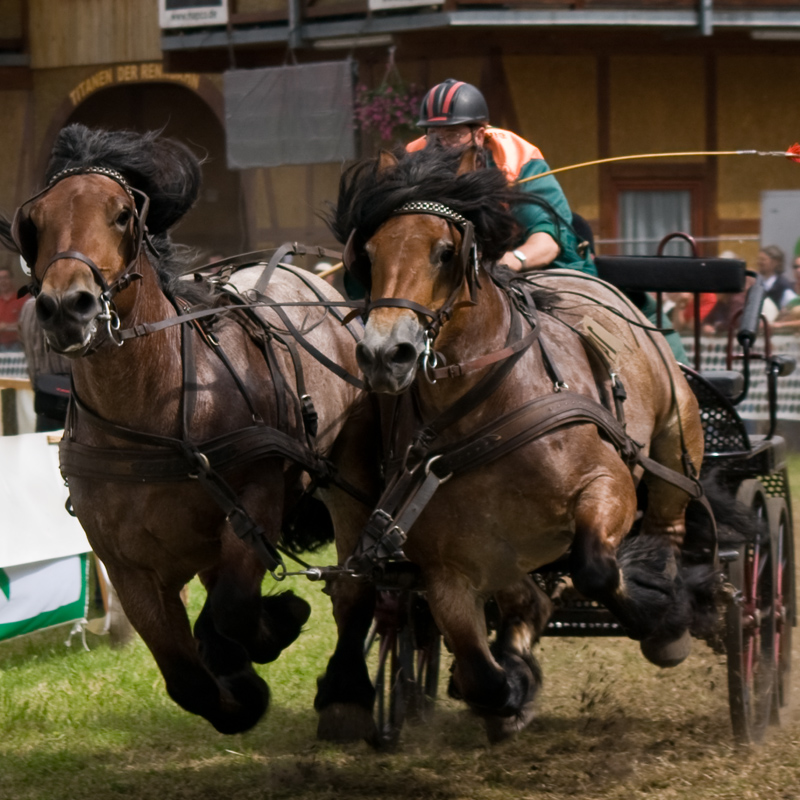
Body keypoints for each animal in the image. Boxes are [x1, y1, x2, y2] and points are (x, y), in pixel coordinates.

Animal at [0, 126, 376, 736]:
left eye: (122, 215)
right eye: (34, 220)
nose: (65, 307)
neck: (149, 420)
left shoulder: (254, 501)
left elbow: (233, 610)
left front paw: (278, 621)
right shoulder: (125, 564)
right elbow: (185, 676)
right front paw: (241, 692)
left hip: (350, 471)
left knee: (352, 585)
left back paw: (346, 697)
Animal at [316, 145, 716, 744]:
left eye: (444, 253)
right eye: (368, 252)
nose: (386, 354)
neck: (488, 412)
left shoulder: (607, 485)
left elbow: (597, 566)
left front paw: (656, 612)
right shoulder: (448, 568)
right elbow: (482, 670)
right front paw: (510, 688)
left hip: (675, 432)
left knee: (667, 520)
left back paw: (666, 602)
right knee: (518, 596)